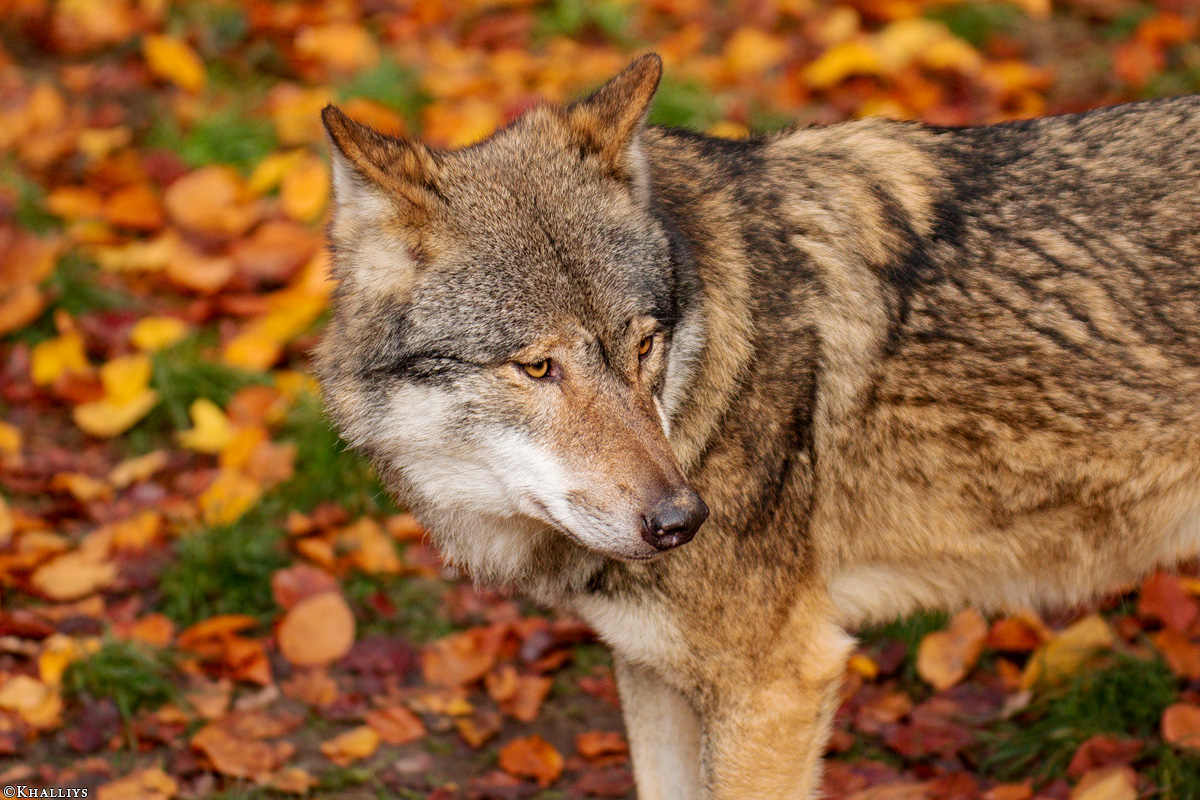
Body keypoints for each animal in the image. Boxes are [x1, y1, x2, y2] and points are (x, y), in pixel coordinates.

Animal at [316, 53, 1200, 796]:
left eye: (645, 343)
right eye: (537, 367)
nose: (682, 521)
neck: (711, 378)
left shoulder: (775, 686)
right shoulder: (652, 668)